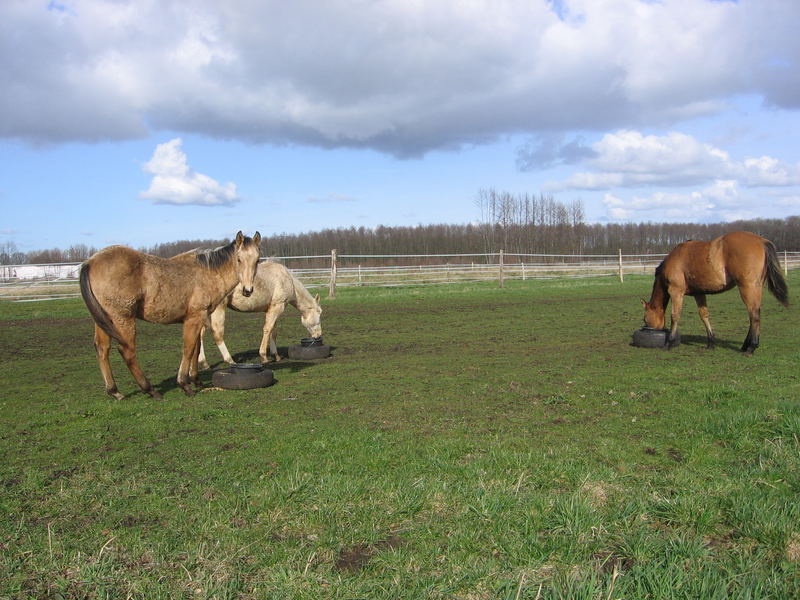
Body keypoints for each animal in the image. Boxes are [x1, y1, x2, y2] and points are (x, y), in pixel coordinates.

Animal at [78, 232, 260, 400]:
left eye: (257, 260)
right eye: (239, 259)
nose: (247, 290)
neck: (207, 273)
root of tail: (90, 262)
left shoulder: (199, 318)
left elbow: (196, 349)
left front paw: (196, 380)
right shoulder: (195, 317)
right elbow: (188, 348)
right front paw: (184, 384)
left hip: (104, 320)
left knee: (102, 349)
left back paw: (115, 391)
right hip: (123, 319)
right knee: (127, 351)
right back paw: (150, 389)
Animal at [644, 231, 788, 354]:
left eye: (645, 318)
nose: (646, 328)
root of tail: (761, 241)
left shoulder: (676, 292)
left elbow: (675, 316)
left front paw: (669, 342)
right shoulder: (699, 293)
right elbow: (704, 315)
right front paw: (711, 342)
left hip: (748, 288)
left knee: (754, 315)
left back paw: (751, 347)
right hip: (756, 288)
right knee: (754, 314)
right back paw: (746, 345)